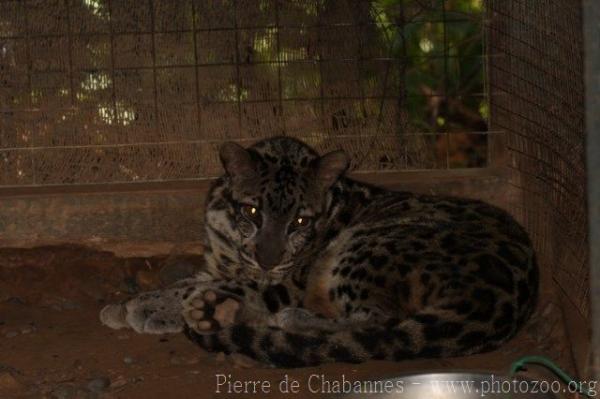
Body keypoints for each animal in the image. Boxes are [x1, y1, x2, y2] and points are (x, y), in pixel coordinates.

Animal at [102, 138, 540, 368]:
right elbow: (195, 279)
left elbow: (220, 286)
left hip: (369, 242)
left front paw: (147, 307)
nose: (268, 259)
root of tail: (499, 303)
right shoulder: (224, 261)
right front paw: (132, 303)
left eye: (300, 221)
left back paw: (278, 317)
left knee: (376, 321)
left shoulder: (290, 279)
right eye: (253, 212)